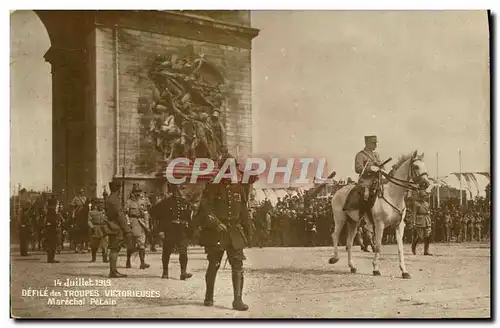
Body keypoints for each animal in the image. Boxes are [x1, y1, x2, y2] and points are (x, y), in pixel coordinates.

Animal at [328, 150, 430, 278]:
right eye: (416, 166)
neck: (392, 195)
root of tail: (337, 192)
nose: (426, 183)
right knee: (335, 235)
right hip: (340, 219)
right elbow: (378, 246)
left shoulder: (399, 225)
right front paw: (376, 269)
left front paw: (404, 271)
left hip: (354, 223)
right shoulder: (379, 225)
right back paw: (334, 258)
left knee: (349, 243)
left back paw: (352, 266)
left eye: (424, 165)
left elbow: (400, 247)